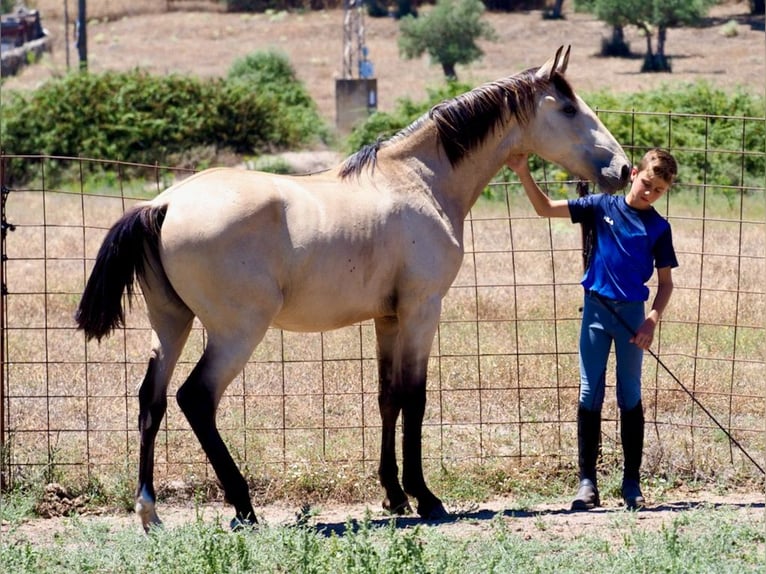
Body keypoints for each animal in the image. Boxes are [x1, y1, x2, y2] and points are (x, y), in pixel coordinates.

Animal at [75, 47, 632, 532]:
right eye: (568, 107)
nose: (622, 168)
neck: (420, 179)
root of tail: (164, 203)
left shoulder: (387, 318)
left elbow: (387, 398)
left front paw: (393, 494)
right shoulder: (421, 311)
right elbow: (415, 398)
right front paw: (425, 497)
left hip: (172, 325)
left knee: (152, 401)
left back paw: (149, 511)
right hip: (236, 332)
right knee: (195, 398)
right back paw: (243, 506)